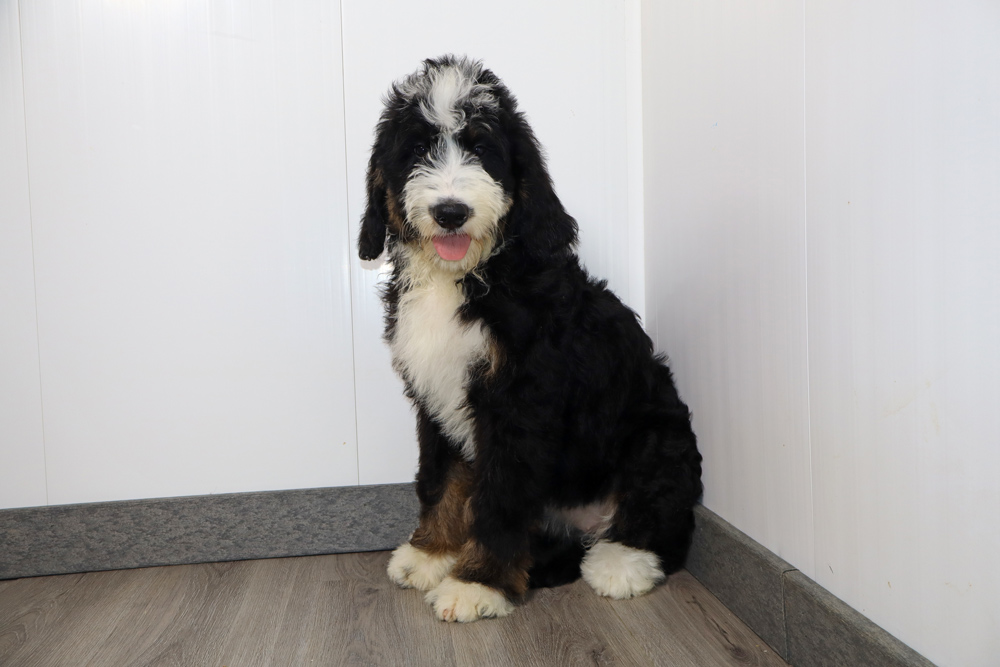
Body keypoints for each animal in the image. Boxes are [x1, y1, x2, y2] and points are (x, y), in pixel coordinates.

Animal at [358, 56, 702, 622]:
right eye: (417, 150)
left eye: (481, 149)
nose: (450, 211)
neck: (466, 278)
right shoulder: (434, 397)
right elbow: (441, 478)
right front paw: (432, 554)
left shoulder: (519, 402)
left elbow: (499, 495)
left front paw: (475, 583)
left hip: (658, 435)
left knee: (664, 521)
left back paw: (621, 563)